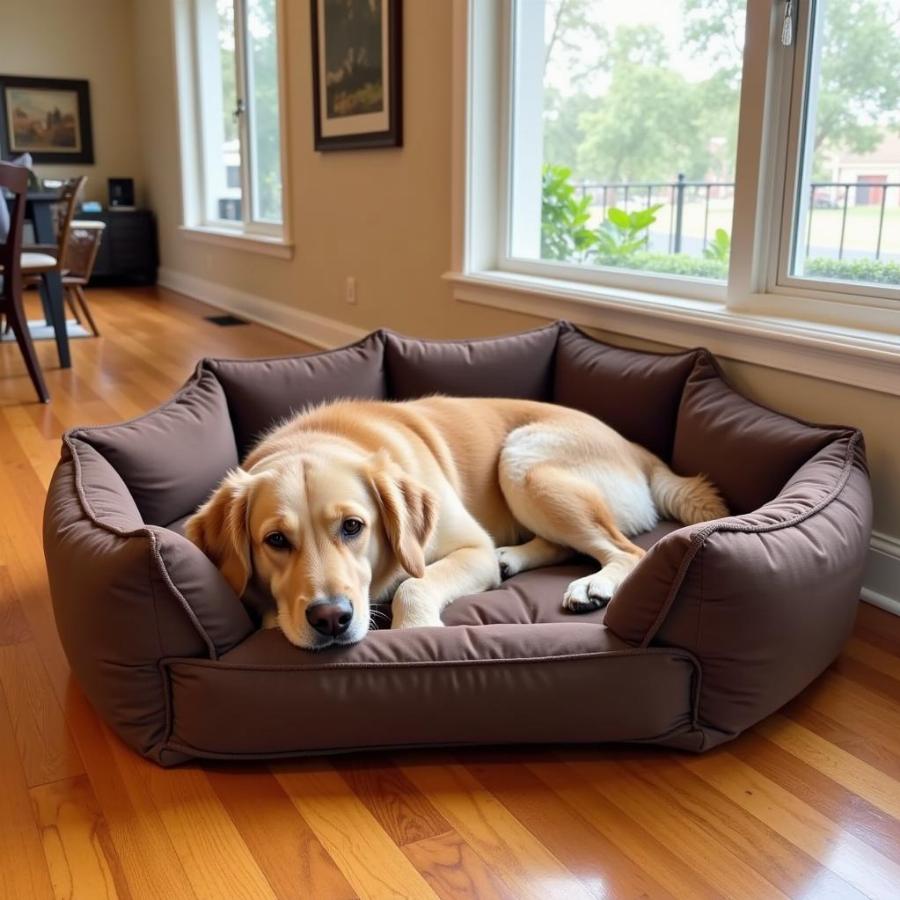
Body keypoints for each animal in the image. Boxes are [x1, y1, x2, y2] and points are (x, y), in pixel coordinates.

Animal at [186, 400, 728, 648]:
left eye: (353, 527)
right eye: (276, 540)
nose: (331, 619)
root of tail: (639, 450)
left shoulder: (469, 548)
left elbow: (412, 585)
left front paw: (414, 632)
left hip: (523, 461)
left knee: (626, 550)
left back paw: (594, 584)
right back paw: (515, 559)